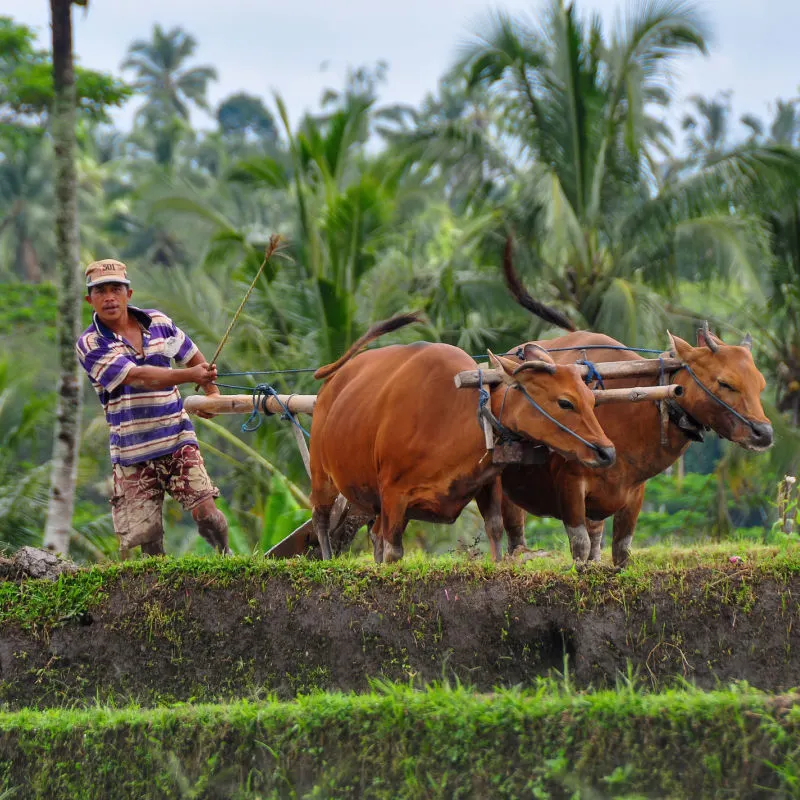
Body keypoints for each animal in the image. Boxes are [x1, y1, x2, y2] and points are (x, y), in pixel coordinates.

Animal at [310, 312, 616, 564]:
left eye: (592, 399)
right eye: (565, 402)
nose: (607, 452)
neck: (451, 421)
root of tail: (332, 383)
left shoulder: (487, 483)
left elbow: (495, 529)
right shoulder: (393, 495)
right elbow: (393, 550)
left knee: (373, 533)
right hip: (321, 474)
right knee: (320, 517)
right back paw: (327, 559)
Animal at [504, 266, 772, 564]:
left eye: (760, 385)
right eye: (726, 383)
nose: (764, 433)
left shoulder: (633, 492)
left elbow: (621, 550)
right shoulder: (570, 485)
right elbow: (579, 547)